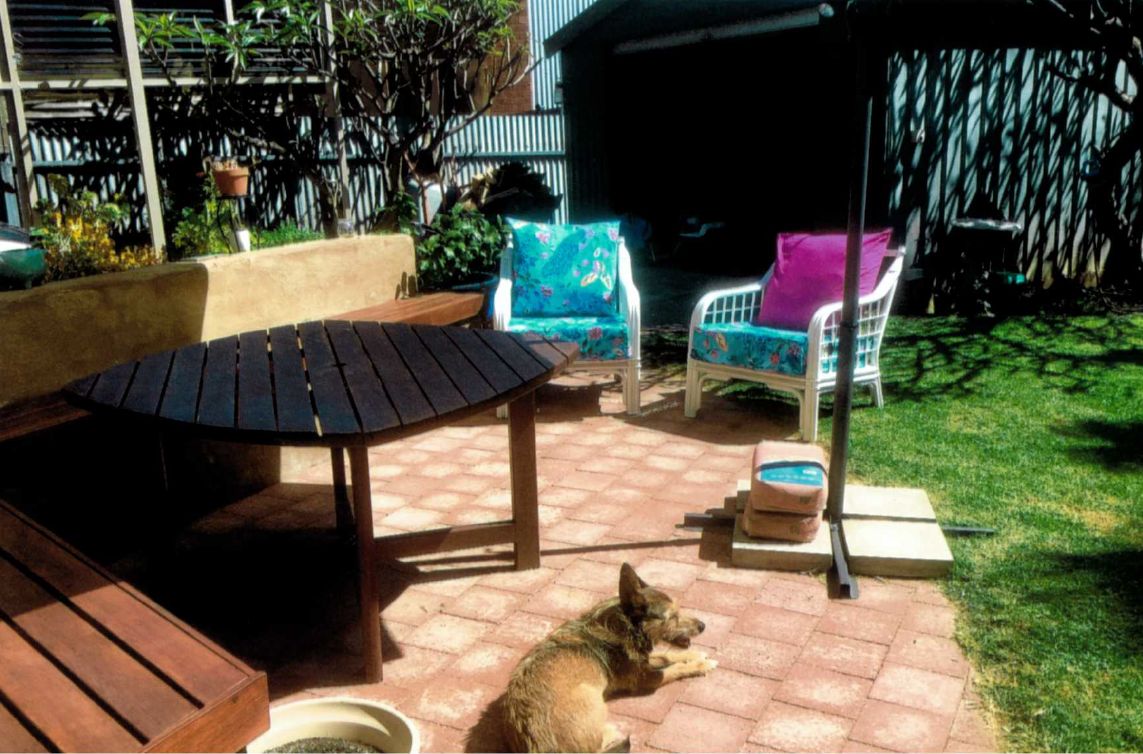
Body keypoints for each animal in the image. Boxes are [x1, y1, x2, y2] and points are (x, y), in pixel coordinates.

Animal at [507, 562, 717, 749]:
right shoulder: (646, 678)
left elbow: (667, 657)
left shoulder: (642, 660)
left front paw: (696, 654)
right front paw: (701, 665)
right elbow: (675, 667)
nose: (703, 626)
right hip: (595, 700)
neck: (627, 627)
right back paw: (610, 732)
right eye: (672, 617)